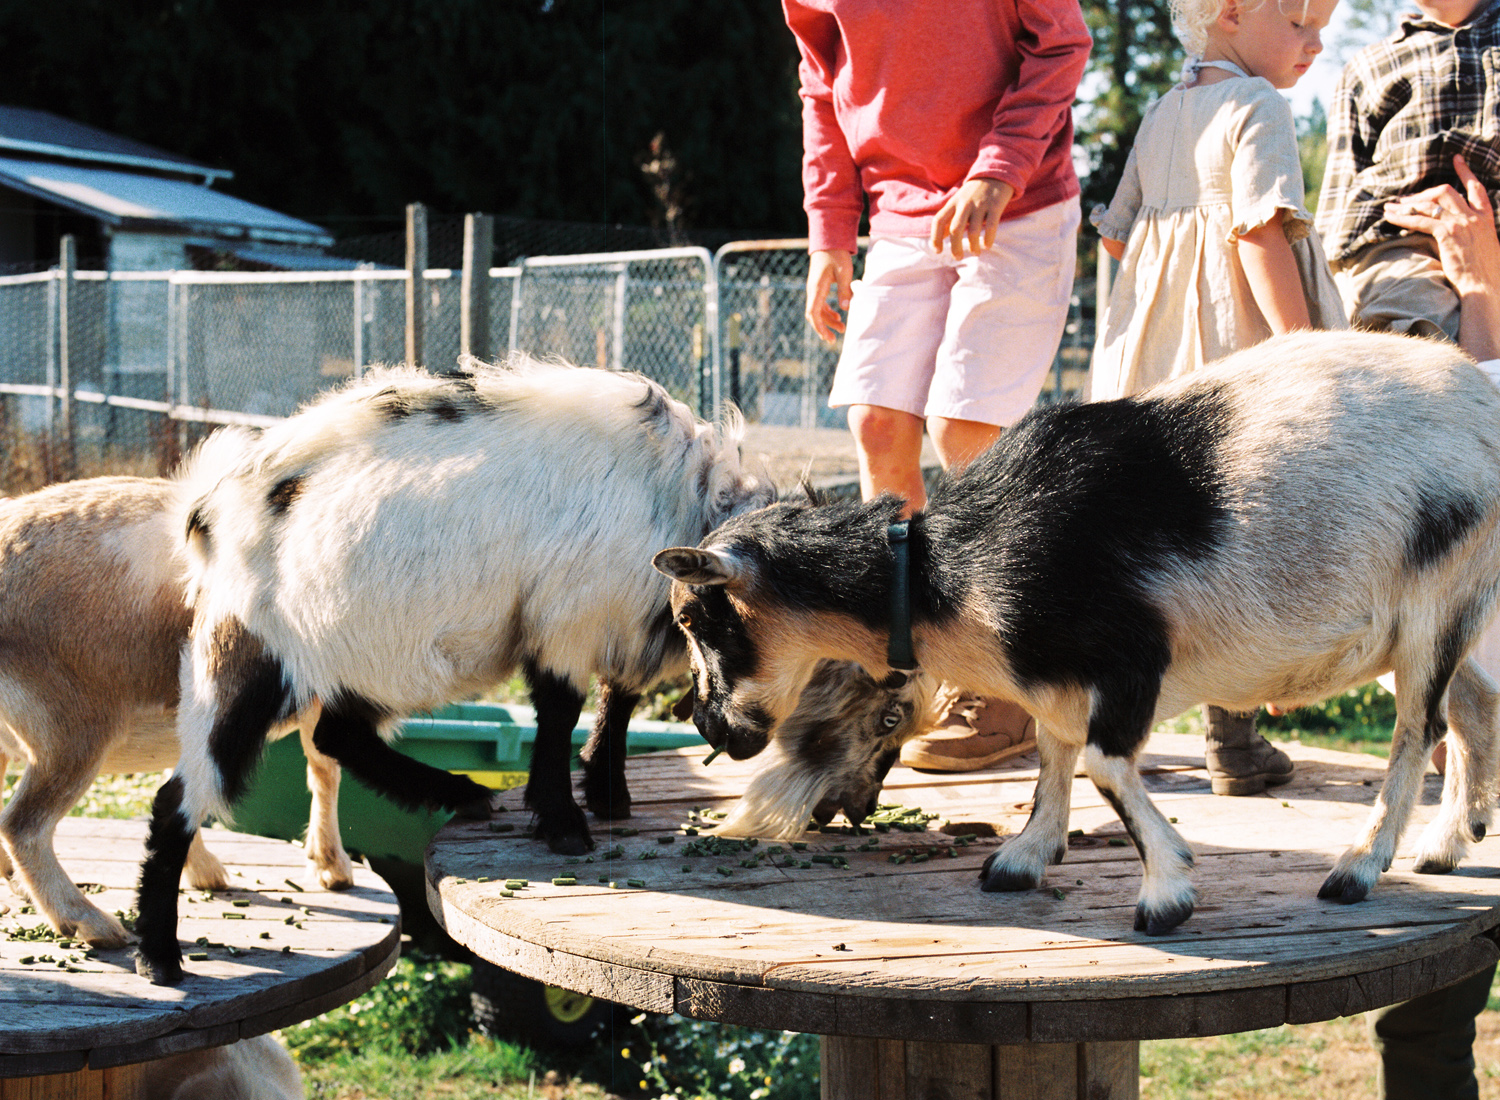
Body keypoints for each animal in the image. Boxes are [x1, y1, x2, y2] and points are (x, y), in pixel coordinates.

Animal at [654, 328, 1500, 936]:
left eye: (695, 617)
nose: (710, 726)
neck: (946, 571)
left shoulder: (1131, 659)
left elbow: (1098, 760)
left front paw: (1167, 890)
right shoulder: (1051, 676)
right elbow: (1055, 751)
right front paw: (1026, 856)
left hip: (1435, 597)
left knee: (1418, 731)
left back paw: (1358, 867)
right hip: (1459, 610)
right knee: (1471, 714)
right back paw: (1446, 844)